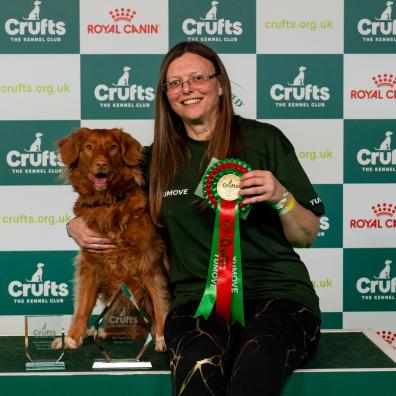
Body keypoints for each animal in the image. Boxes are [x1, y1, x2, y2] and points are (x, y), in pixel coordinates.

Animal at [56, 128, 170, 352]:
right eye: (89, 147)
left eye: (112, 147)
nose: (101, 163)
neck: (108, 203)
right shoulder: (90, 264)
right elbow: (82, 306)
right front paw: (72, 338)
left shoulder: (150, 260)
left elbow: (160, 300)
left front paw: (163, 338)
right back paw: (99, 331)